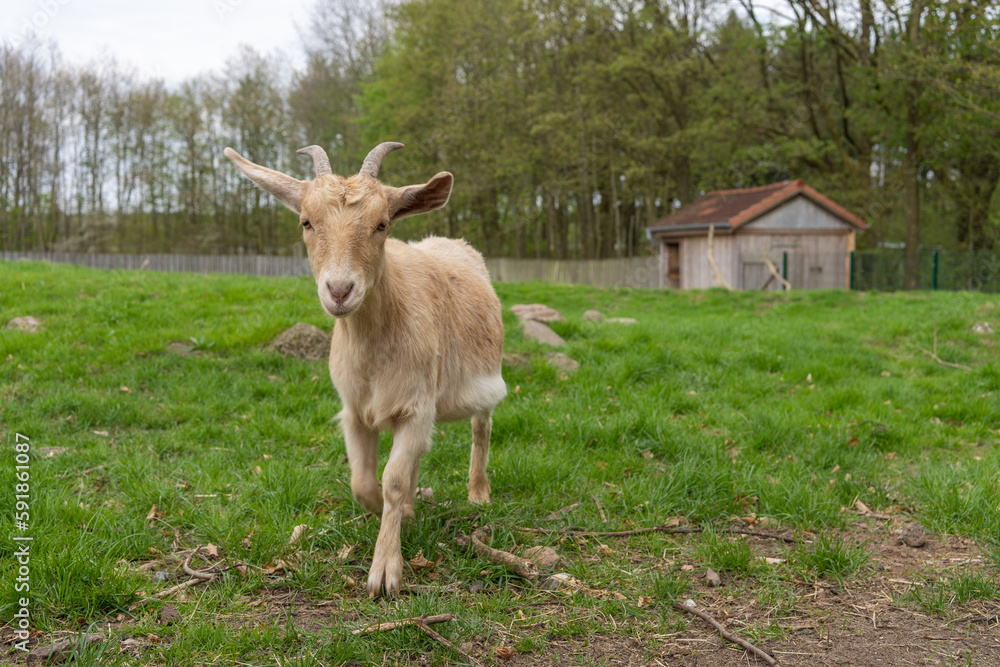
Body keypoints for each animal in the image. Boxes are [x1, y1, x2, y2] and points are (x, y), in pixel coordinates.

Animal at [227, 142, 508, 600]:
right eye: (306, 222)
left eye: (381, 224)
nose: (340, 290)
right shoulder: (356, 410)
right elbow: (363, 482)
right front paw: (397, 514)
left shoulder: (416, 405)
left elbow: (392, 479)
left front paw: (385, 573)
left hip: (485, 378)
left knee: (481, 428)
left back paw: (478, 493)